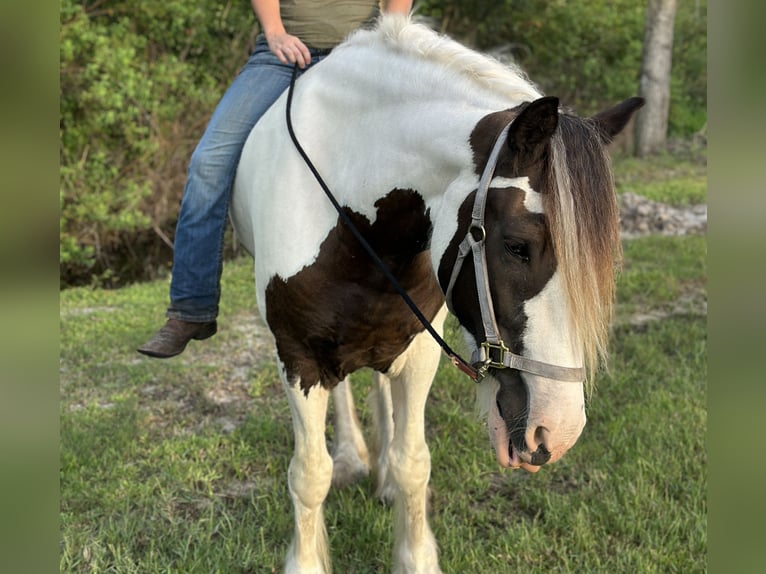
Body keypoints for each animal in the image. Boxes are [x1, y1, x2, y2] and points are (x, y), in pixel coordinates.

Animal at [231, 14, 643, 573]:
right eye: (517, 247)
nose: (556, 432)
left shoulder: (420, 345)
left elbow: (412, 462)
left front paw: (412, 544)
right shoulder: (297, 356)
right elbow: (309, 474)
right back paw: (352, 457)